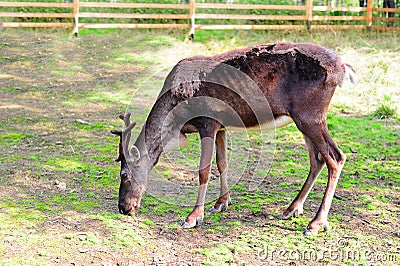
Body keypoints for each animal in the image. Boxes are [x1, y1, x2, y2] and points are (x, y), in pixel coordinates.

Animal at [110, 42, 356, 236]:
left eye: (124, 174)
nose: (124, 208)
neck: (177, 121)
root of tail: (343, 68)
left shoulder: (207, 123)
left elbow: (204, 170)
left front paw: (193, 217)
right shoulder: (221, 127)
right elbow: (222, 162)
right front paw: (221, 203)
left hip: (310, 116)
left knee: (336, 157)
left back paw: (316, 223)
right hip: (304, 119)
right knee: (317, 159)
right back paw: (291, 209)